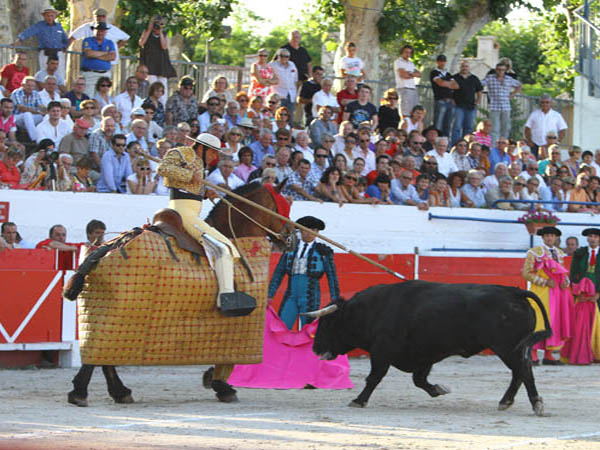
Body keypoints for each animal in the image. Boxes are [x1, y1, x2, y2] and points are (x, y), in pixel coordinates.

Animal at [65, 181, 296, 406]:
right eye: (283, 207)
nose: (292, 238)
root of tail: (107, 247)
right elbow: (228, 358)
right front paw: (221, 386)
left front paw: (215, 382)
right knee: (98, 354)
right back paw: (81, 393)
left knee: (102, 354)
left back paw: (118, 392)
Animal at [310, 284, 552, 416]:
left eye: (327, 324)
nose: (315, 348)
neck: (373, 310)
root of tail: (515, 292)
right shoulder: (423, 356)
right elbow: (419, 380)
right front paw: (439, 389)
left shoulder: (381, 352)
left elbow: (373, 378)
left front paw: (359, 401)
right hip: (514, 348)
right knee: (520, 372)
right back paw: (506, 402)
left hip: (507, 347)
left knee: (522, 371)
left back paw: (534, 404)